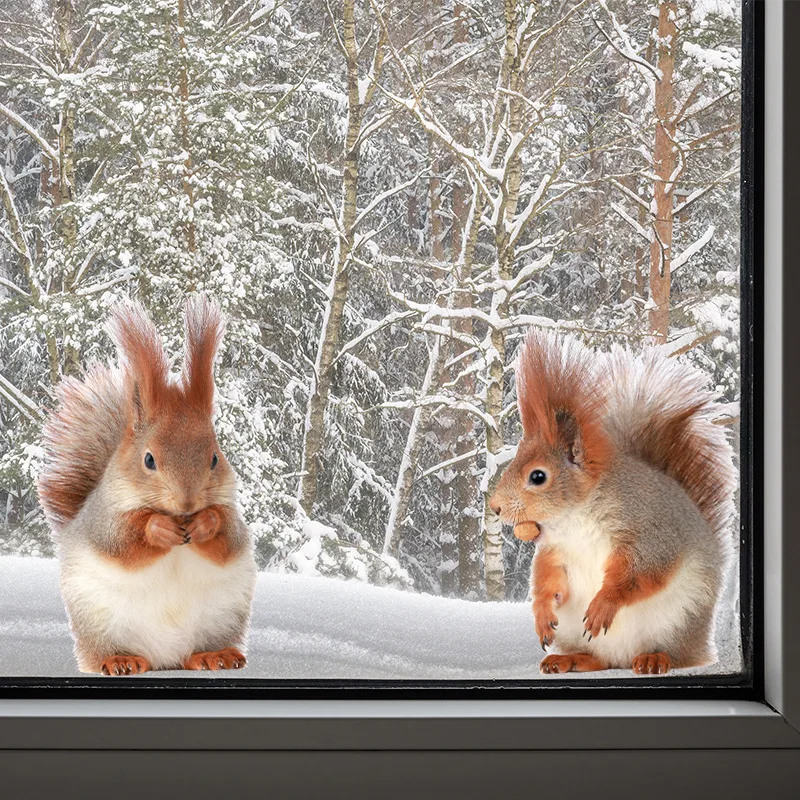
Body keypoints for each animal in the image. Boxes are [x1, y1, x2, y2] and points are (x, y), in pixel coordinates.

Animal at [37, 297, 256, 675]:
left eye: (215, 458)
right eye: (149, 460)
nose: (187, 504)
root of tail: (164, 658)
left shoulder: (233, 515)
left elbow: (229, 537)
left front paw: (205, 522)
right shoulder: (102, 518)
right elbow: (121, 541)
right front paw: (158, 528)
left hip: (223, 617)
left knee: (196, 652)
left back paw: (214, 655)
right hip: (98, 622)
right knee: (103, 651)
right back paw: (121, 659)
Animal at [489, 331, 736, 675]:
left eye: (537, 476)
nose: (495, 507)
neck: (574, 518)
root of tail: (623, 657)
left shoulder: (649, 532)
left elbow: (639, 573)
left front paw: (603, 605)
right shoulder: (554, 550)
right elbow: (547, 579)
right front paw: (541, 614)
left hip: (680, 620)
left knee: (676, 655)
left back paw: (654, 658)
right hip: (577, 634)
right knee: (598, 660)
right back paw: (568, 659)